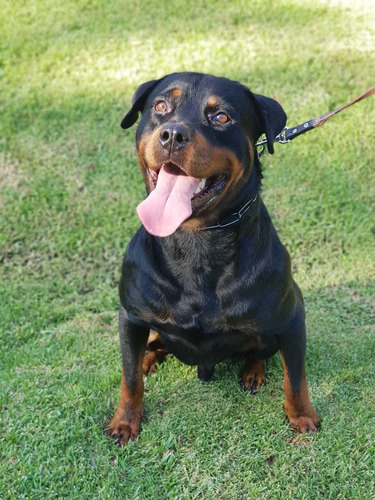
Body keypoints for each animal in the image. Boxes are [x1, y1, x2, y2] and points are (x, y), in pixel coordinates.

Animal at [107, 71, 322, 446]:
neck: (196, 240)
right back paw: (149, 359)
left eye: (221, 117)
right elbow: (129, 378)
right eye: (160, 106)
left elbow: (296, 376)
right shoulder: (130, 316)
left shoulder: (291, 318)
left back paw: (253, 373)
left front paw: (302, 416)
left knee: (259, 351)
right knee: (150, 347)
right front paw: (125, 421)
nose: (173, 134)